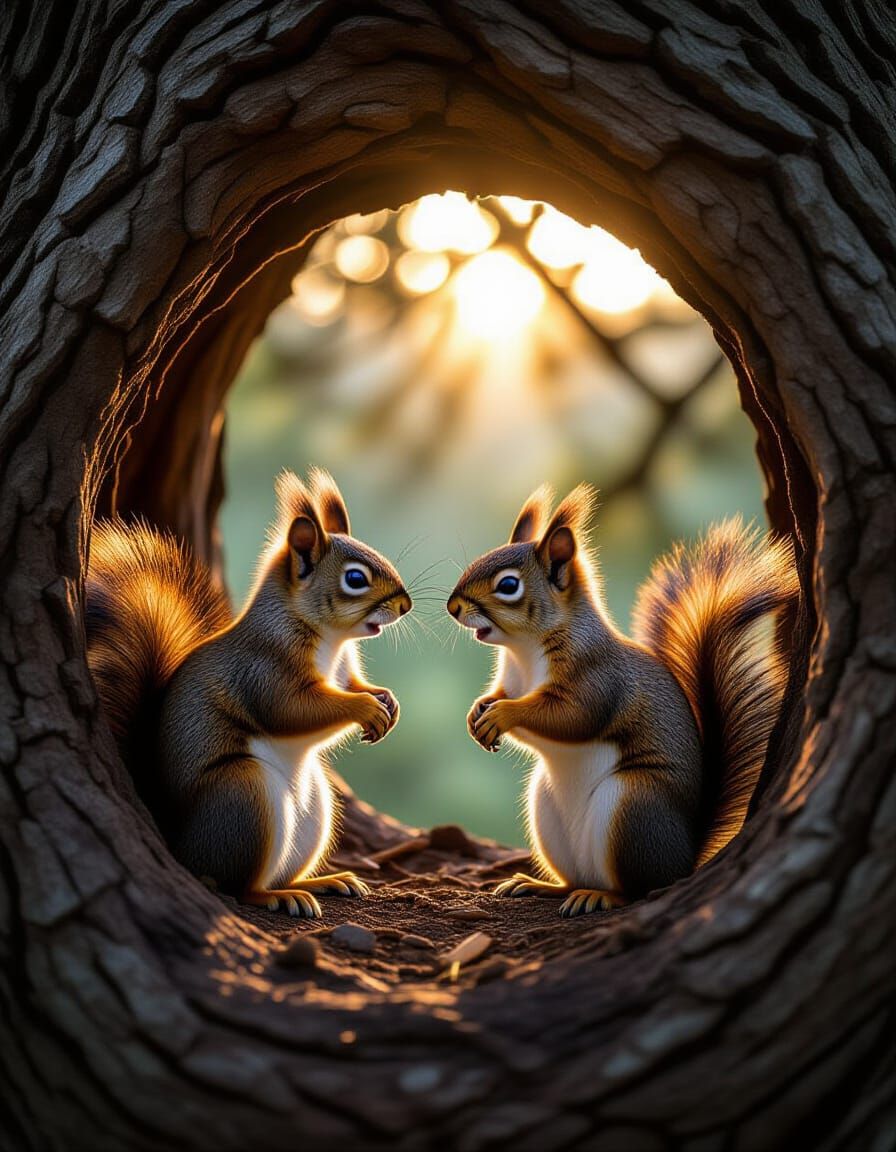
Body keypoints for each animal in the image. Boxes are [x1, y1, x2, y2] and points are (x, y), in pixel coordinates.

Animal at [86, 468, 412, 918]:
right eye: (355, 578)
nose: (405, 605)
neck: (331, 640)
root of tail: (177, 840)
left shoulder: (344, 668)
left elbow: (351, 686)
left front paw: (386, 699)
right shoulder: (263, 669)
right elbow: (292, 710)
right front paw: (366, 707)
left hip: (317, 810)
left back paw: (321, 881)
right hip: (243, 795)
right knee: (237, 885)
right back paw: (277, 895)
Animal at [447, 484, 798, 917]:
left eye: (508, 585)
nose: (453, 606)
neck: (524, 650)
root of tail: (684, 857)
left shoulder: (597, 679)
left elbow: (570, 716)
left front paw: (503, 715)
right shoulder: (510, 679)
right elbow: (500, 694)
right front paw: (478, 711)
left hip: (633, 808)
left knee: (639, 888)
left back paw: (602, 896)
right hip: (545, 813)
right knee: (574, 879)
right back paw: (541, 885)